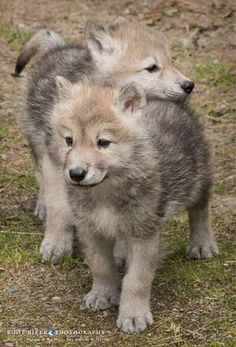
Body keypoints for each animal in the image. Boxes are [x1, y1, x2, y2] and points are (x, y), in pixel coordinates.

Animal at [15, 17, 195, 264]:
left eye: (171, 61)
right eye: (152, 67)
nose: (189, 85)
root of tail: (59, 47)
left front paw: (120, 251)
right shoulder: (57, 162)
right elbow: (59, 207)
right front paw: (56, 244)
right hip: (38, 144)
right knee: (42, 179)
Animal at [45, 79, 218, 334]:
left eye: (103, 143)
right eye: (69, 140)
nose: (76, 174)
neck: (105, 192)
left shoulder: (144, 234)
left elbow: (137, 279)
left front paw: (134, 315)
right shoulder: (91, 229)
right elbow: (100, 266)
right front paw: (103, 294)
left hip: (197, 180)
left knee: (200, 210)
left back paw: (202, 244)